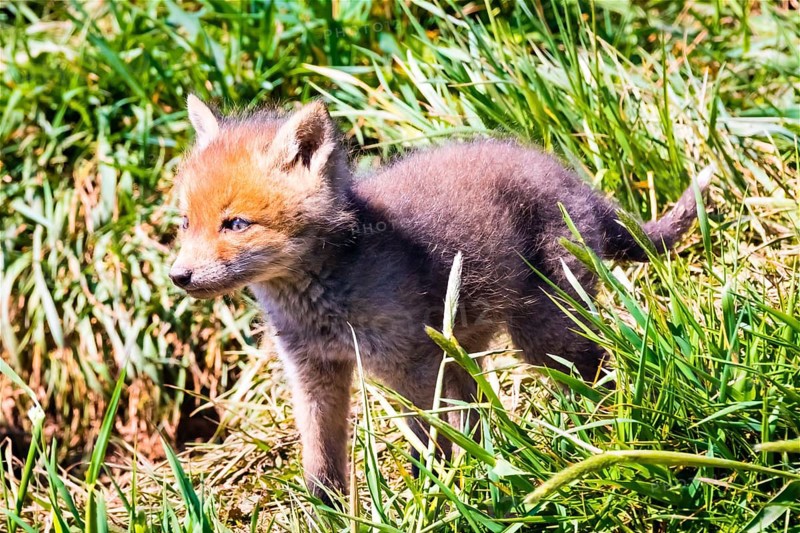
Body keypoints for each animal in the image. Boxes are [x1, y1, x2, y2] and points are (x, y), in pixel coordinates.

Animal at [170, 95, 710, 502]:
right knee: (479, 414)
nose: (179, 276)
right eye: (185, 222)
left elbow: (426, 443)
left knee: (593, 369)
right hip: (465, 349)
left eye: (235, 223)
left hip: (542, 333)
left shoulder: (411, 365)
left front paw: (427, 497)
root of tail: (577, 183)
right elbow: (322, 463)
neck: (323, 300)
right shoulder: (314, 373)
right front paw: (329, 513)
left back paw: (597, 435)